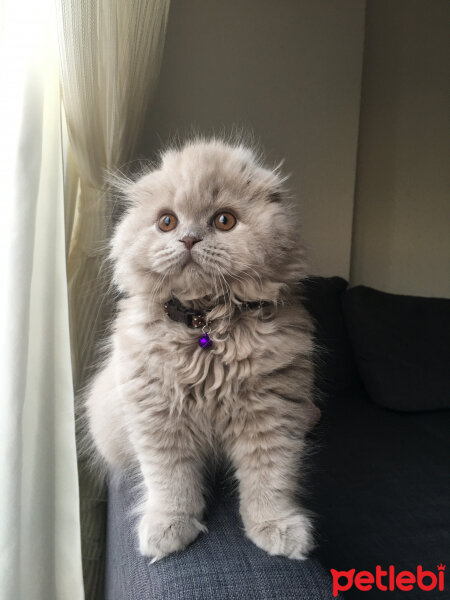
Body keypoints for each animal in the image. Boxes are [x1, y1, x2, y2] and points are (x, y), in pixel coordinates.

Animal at [86, 139, 320, 564]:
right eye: (167, 222)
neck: (206, 325)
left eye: (224, 221)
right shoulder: (158, 418)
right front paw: (169, 529)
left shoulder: (272, 416)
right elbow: (171, 483)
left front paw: (276, 529)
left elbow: (270, 480)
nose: (189, 239)